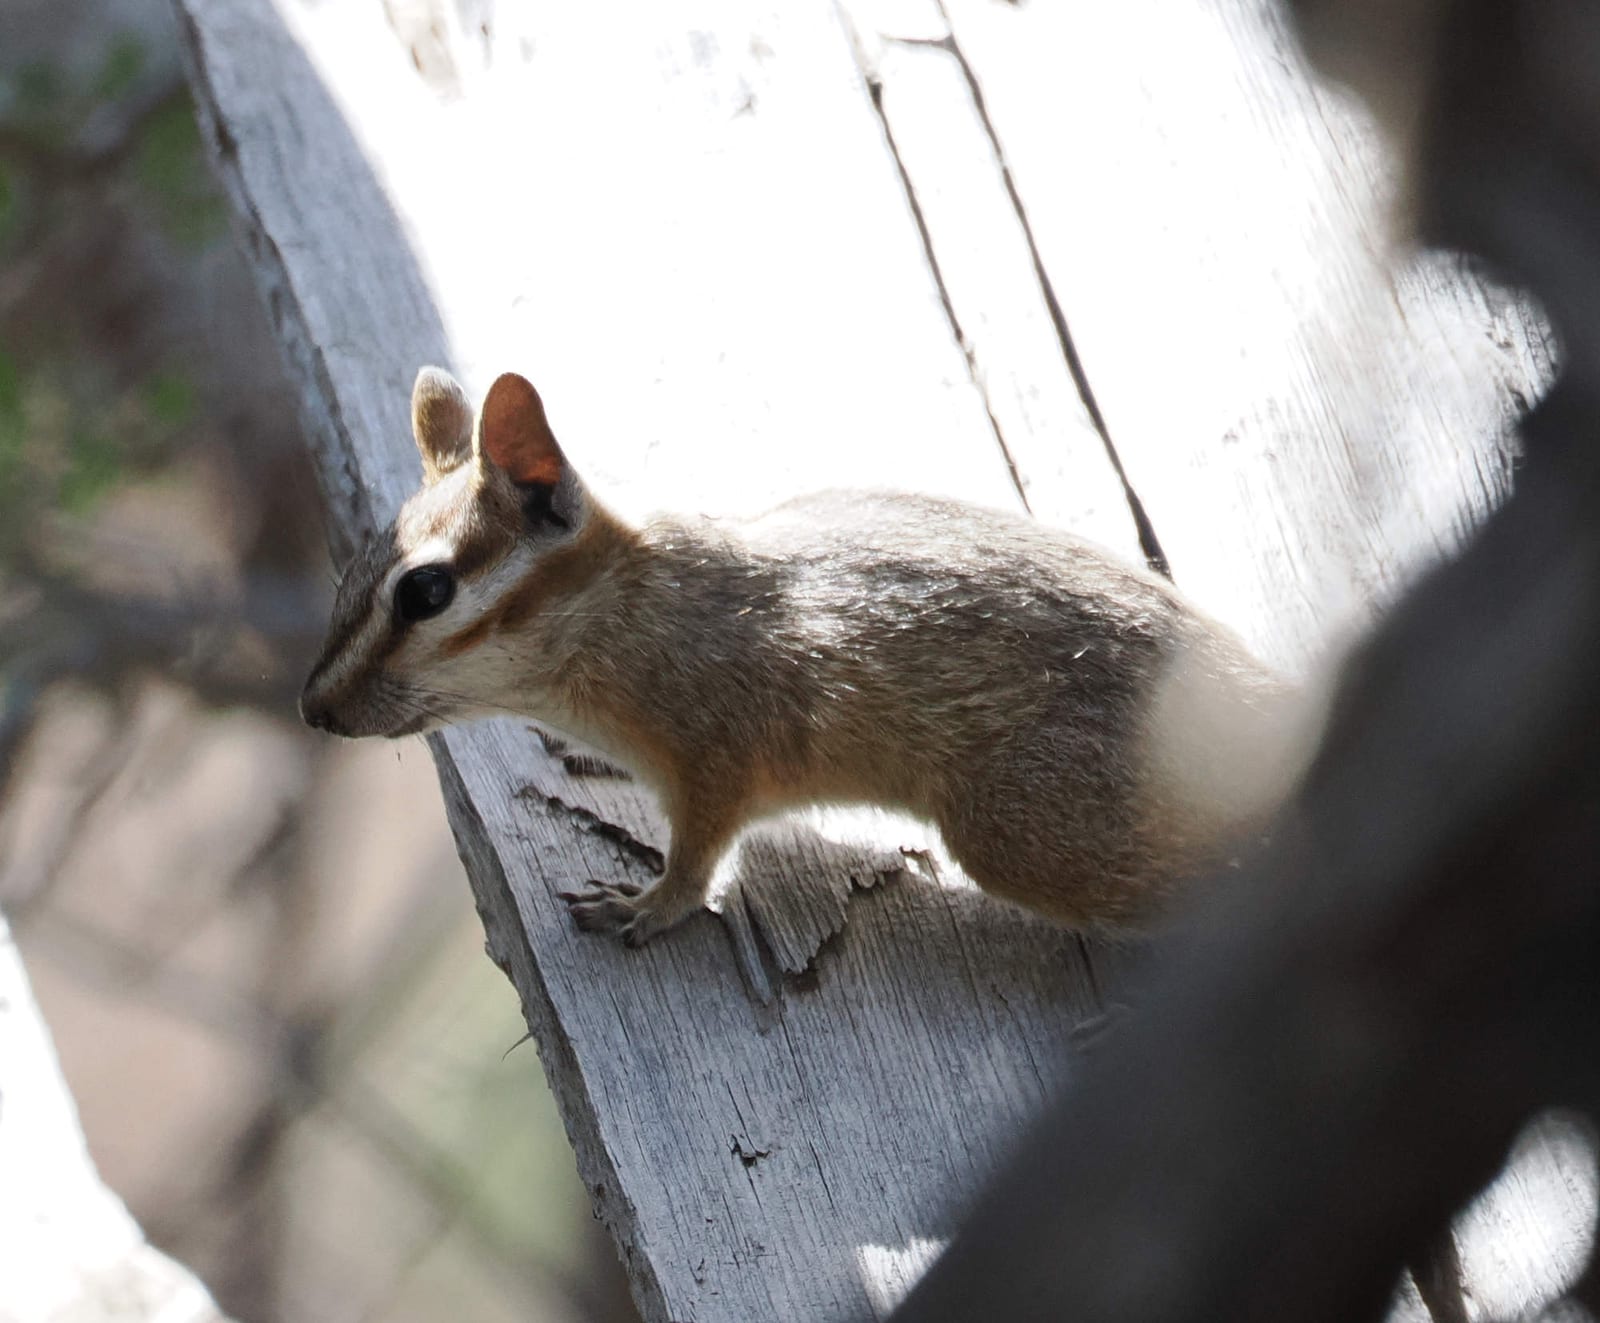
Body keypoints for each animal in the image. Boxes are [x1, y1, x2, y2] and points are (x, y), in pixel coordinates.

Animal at [301, 368, 1300, 946]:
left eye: (426, 592)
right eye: (354, 563)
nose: (312, 708)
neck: (627, 614)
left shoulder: (719, 759)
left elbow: (699, 858)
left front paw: (646, 905)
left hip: (1016, 832)